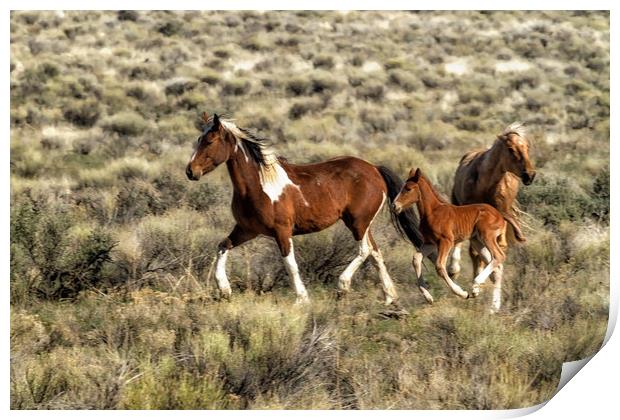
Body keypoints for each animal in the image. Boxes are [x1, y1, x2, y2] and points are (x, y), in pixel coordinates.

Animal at [185, 113, 426, 304]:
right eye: (198, 139)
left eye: (209, 141)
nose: (190, 171)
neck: (259, 184)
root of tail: (374, 169)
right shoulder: (246, 230)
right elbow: (222, 246)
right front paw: (224, 289)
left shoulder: (282, 232)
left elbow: (290, 265)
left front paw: (302, 299)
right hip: (362, 224)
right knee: (375, 252)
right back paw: (389, 296)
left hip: (357, 222)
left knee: (365, 250)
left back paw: (343, 286)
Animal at [394, 167, 506, 308]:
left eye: (408, 189)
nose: (395, 206)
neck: (432, 212)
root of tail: (501, 218)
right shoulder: (430, 243)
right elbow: (416, 259)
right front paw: (428, 297)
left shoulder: (446, 241)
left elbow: (440, 266)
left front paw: (462, 293)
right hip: (477, 241)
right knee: (497, 267)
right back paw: (492, 305)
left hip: (487, 236)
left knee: (499, 256)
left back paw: (476, 284)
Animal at [448, 120, 536, 310]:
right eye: (510, 149)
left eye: (527, 147)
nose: (530, 175)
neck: (485, 183)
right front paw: (455, 271)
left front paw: (489, 300)